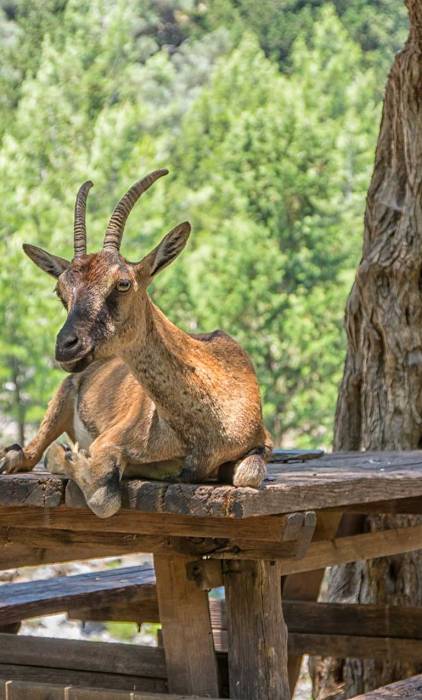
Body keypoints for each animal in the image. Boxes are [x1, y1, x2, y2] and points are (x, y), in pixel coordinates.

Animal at [0, 170, 272, 517]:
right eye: (61, 291)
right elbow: (104, 496)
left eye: (123, 283)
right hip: (63, 396)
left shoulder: (261, 443)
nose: (67, 346)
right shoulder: (110, 441)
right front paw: (67, 456)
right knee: (31, 452)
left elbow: (249, 474)